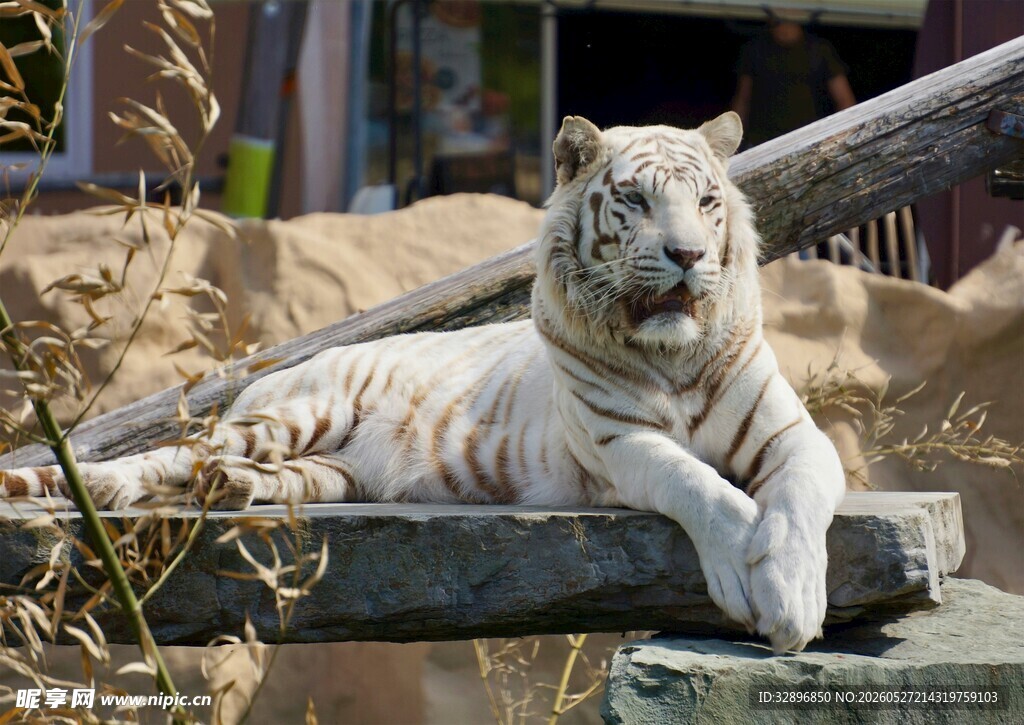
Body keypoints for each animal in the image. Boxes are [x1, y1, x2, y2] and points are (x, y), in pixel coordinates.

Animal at [1, 112, 846, 653]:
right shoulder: (618, 443)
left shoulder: (796, 435)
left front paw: (794, 597)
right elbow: (704, 487)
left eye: (707, 202)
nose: (687, 255)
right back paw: (103, 487)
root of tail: (265, 378)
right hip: (296, 414)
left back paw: (233, 490)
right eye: (635, 199)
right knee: (175, 454)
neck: (672, 356)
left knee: (239, 473)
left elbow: (799, 500)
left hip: (330, 471)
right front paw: (746, 579)